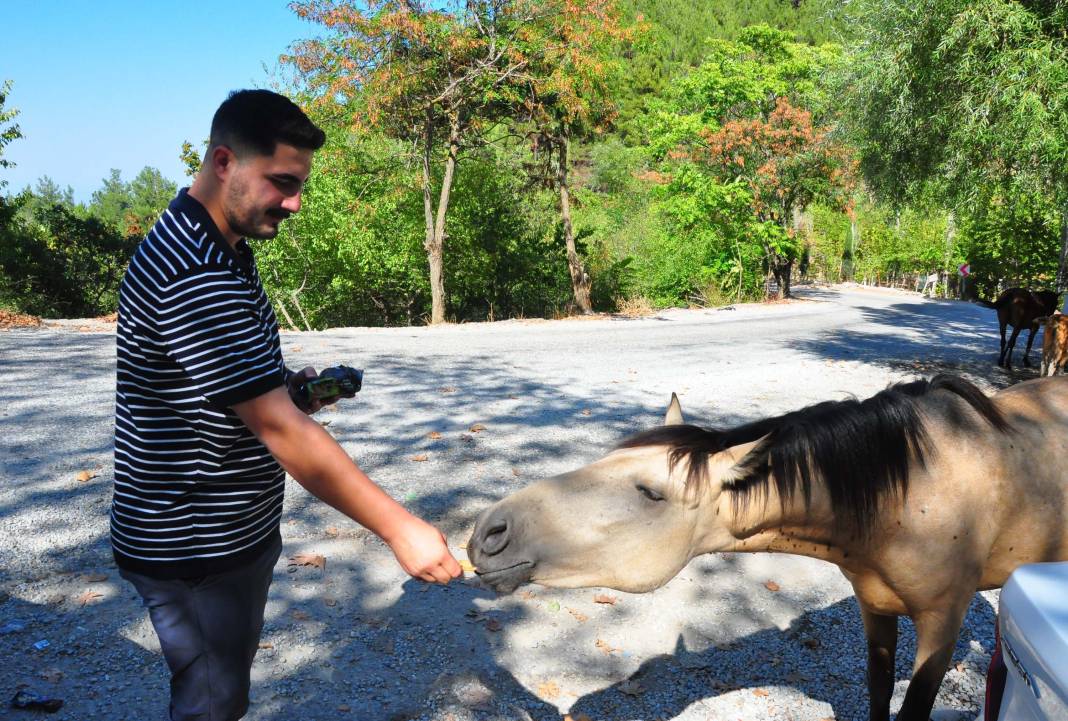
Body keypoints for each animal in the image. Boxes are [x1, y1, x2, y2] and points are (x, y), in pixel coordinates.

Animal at [472, 375, 1068, 721]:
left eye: (650, 493)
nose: (488, 534)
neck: (911, 488)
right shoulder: (875, 608)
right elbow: (878, 692)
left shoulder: (941, 628)